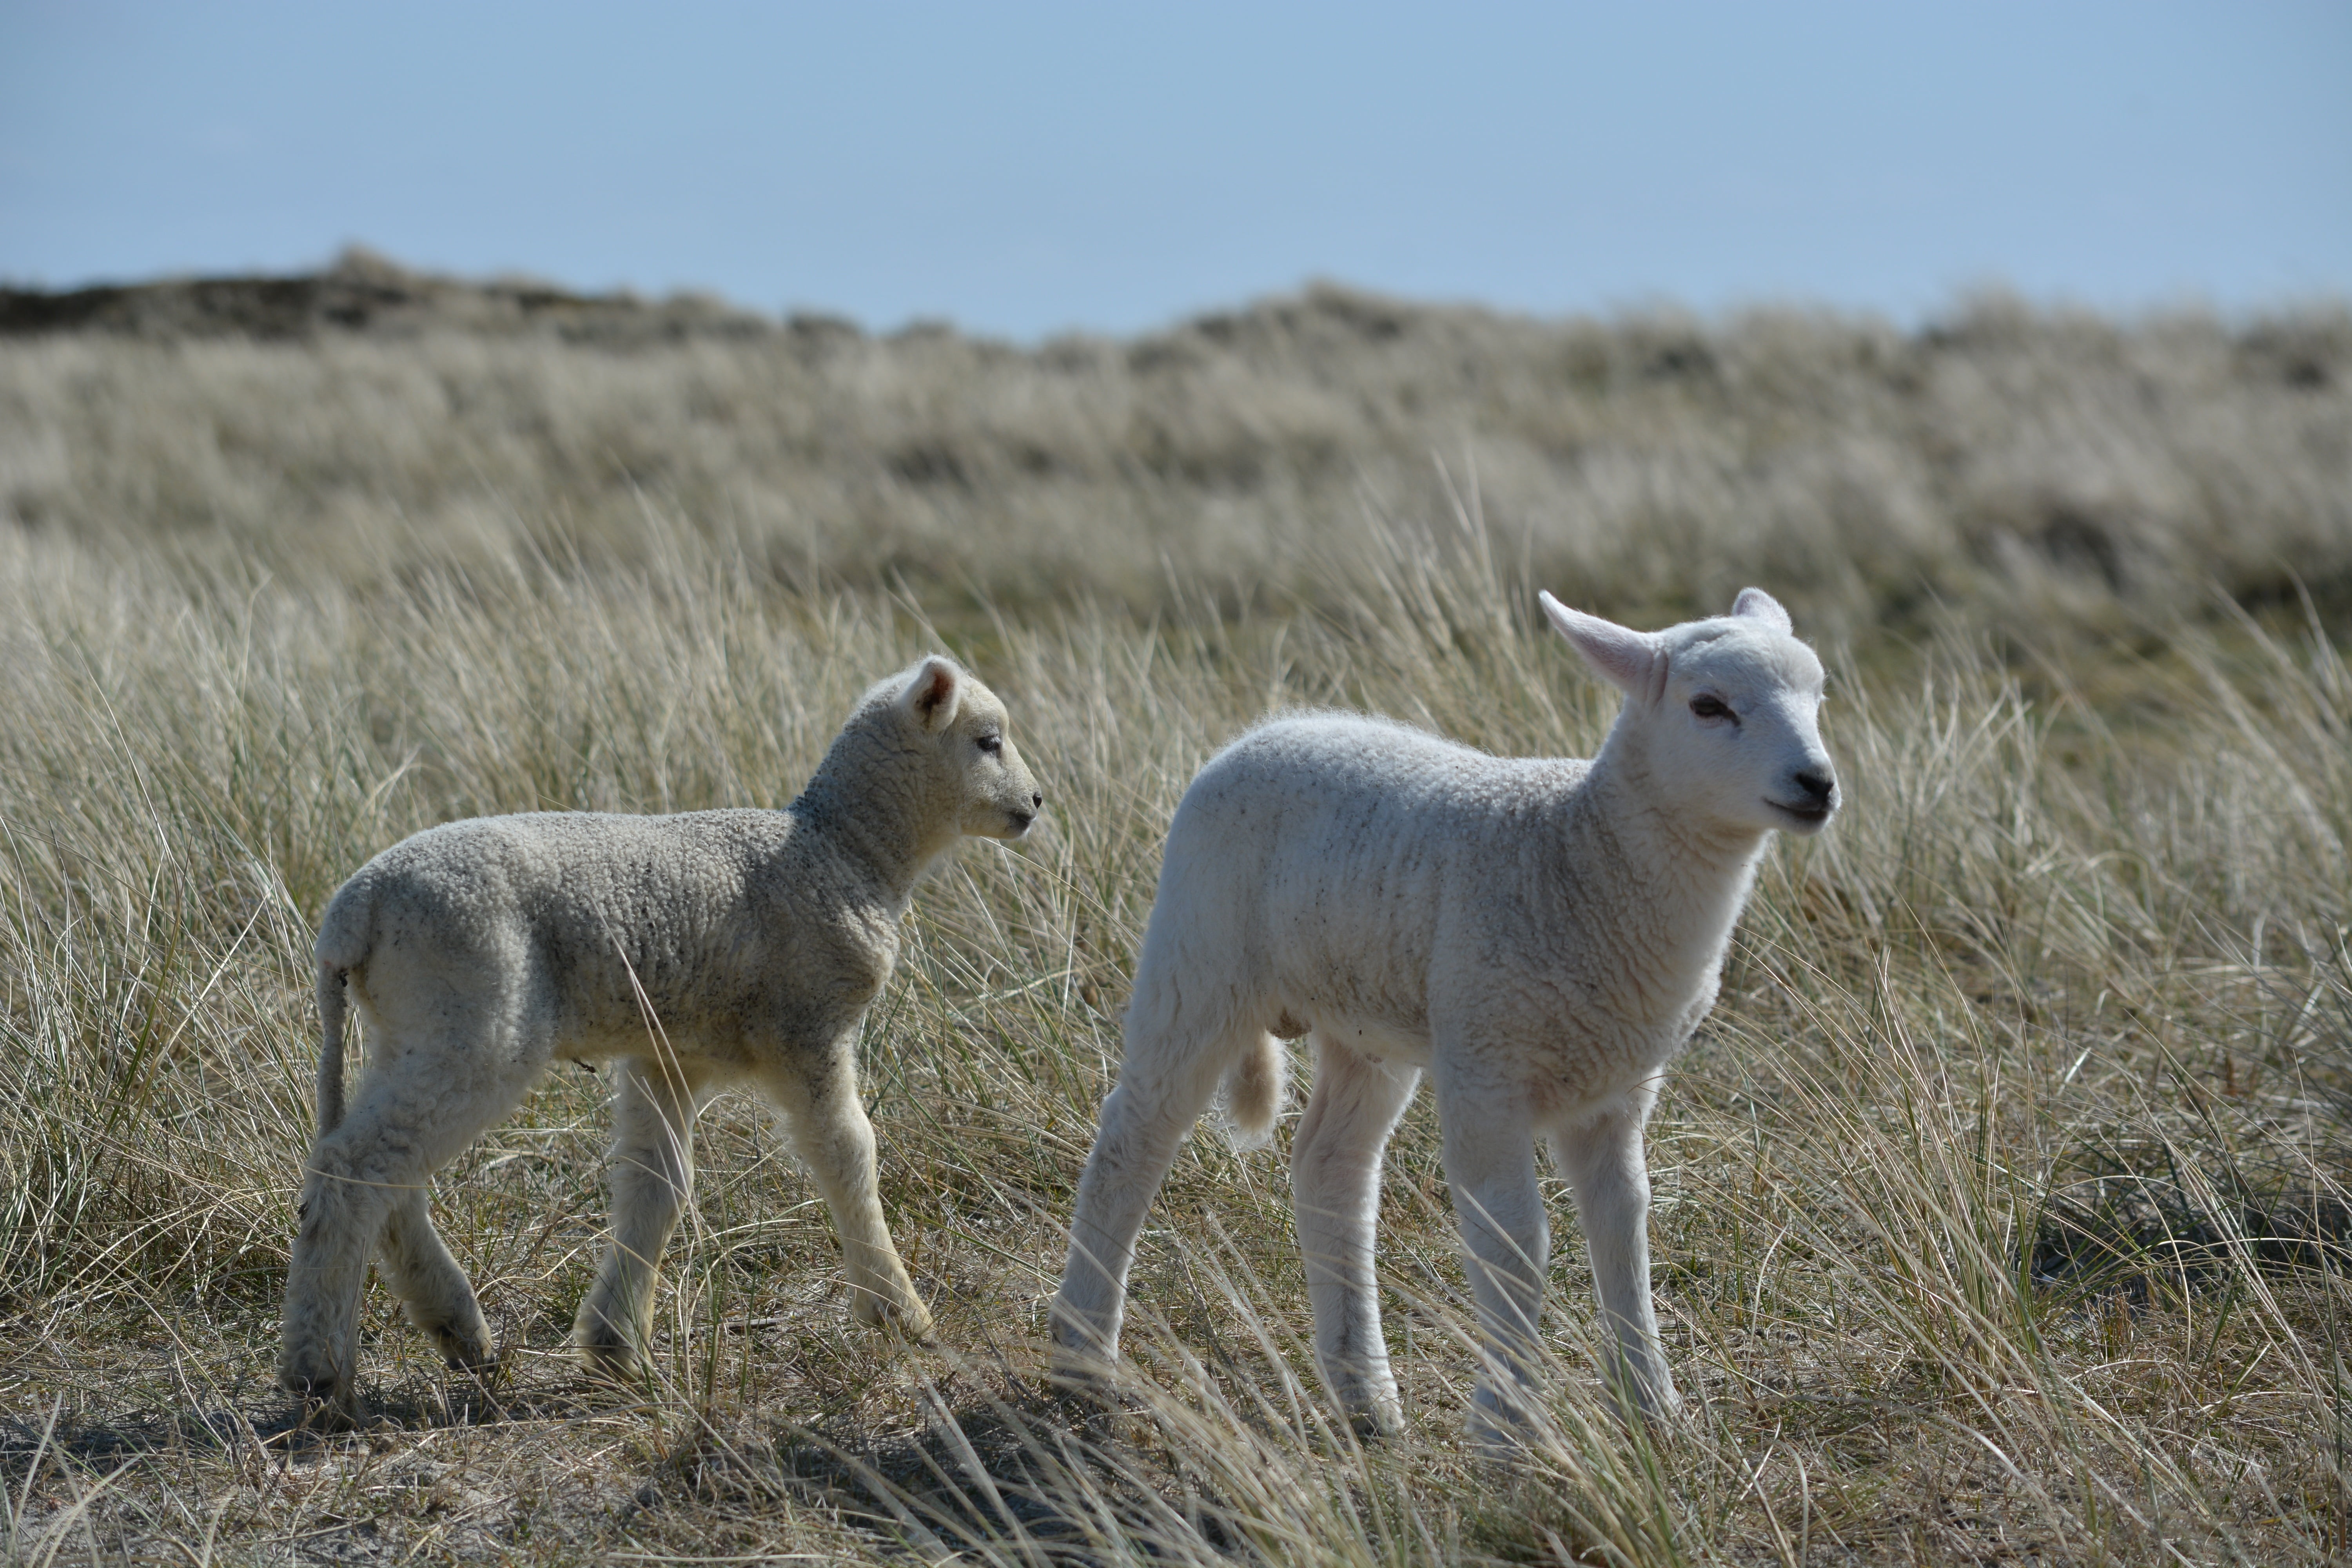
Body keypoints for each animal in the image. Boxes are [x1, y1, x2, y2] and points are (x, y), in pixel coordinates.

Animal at [278, 656, 1043, 1411]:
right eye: (988, 742)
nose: (1036, 803)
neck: (844, 849)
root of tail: (354, 909)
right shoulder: (810, 1026)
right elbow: (849, 1155)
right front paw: (899, 1315)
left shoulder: (670, 1054)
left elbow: (657, 1186)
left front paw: (617, 1347)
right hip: (476, 1021)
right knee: (358, 1166)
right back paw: (317, 1368)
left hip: (412, 1029)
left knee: (383, 1171)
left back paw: (453, 1325)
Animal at [1050, 588, 1837, 1437]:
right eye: (1708, 706)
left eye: (1818, 697)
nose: (1818, 782)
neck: (1582, 857)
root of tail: (1268, 729)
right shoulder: (1486, 1069)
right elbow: (1516, 1239)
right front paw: (1508, 1424)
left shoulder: (1618, 1087)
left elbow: (1624, 1222)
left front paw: (1650, 1403)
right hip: (1198, 962)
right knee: (1132, 1142)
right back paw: (1084, 1352)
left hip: (1363, 1022)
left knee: (1331, 1167)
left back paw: (1364, 1388)